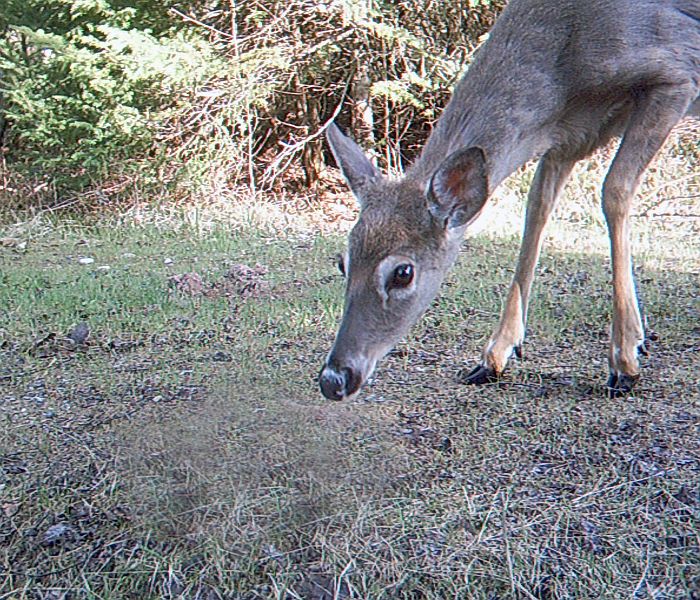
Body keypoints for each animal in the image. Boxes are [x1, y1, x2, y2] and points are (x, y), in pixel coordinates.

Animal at [318, 1, 700, 404]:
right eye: (342, 262)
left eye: (403, 272)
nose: (334, 379)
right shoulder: (574, 130)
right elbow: (537, 206)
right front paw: (494, 356)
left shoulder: (677, 73)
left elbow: (615, 190)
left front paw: (625, 359)